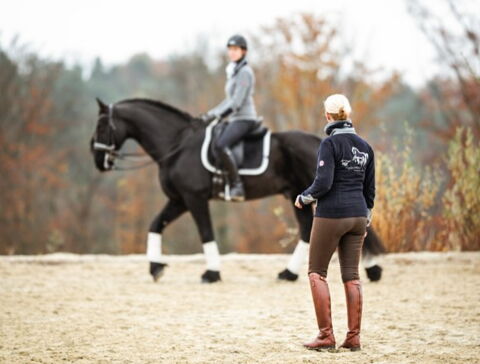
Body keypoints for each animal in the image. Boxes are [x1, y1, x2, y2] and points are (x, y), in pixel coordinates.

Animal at [89, 98, 382, 282]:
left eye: (102, 125)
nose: (96, 159)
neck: (177, 145)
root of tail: (317, 141)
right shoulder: (178, 199)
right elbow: (155, 225)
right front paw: (155, 268)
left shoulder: (194, 199)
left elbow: (206, 233)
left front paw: (211, 274)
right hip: (296, 196)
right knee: (308, 230)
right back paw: (289, 274)